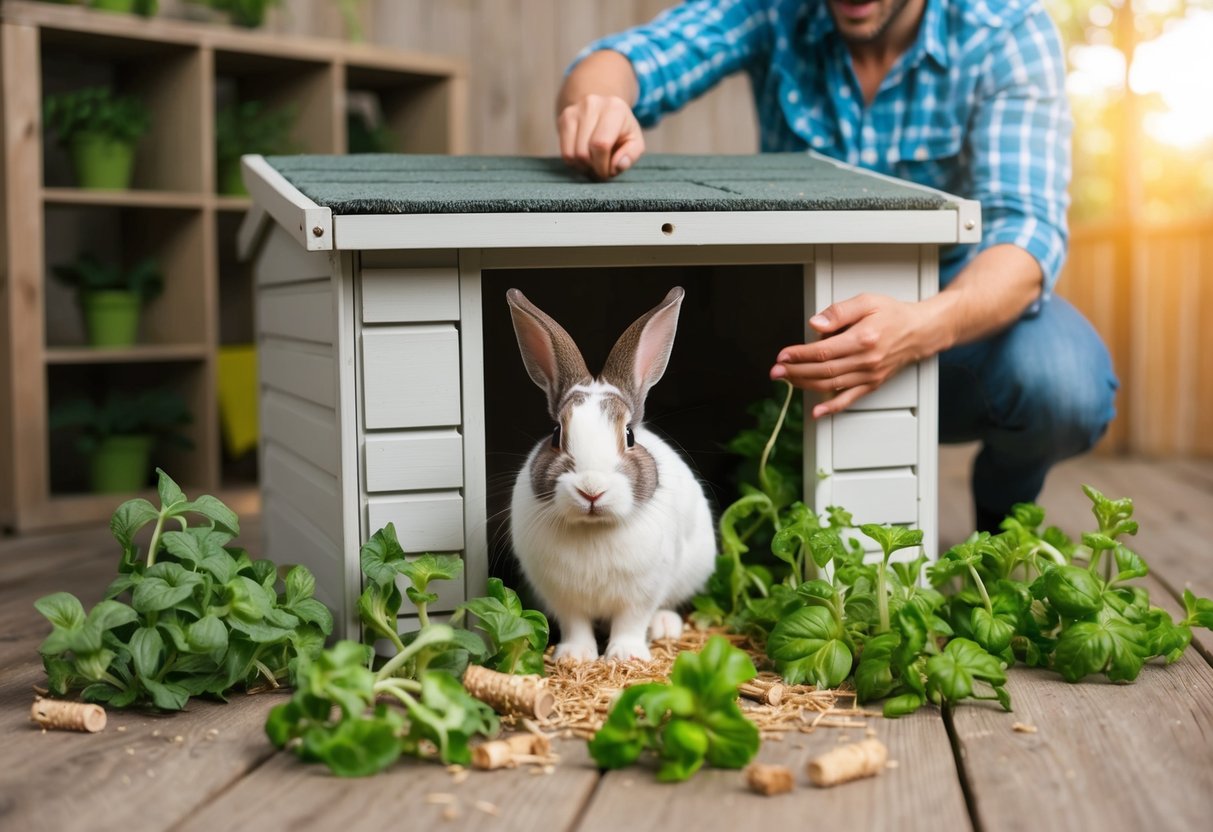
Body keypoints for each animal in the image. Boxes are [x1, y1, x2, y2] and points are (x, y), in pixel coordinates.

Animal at [506, 286, 717, 662]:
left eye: (630, 436)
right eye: (556, 434)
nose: (591, 489)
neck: (594, 529)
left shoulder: (642, 592)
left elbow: (631, 622)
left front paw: (625, 656)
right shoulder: (562, 595)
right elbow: (575, 624)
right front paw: (574, 656)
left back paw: (665, 626)